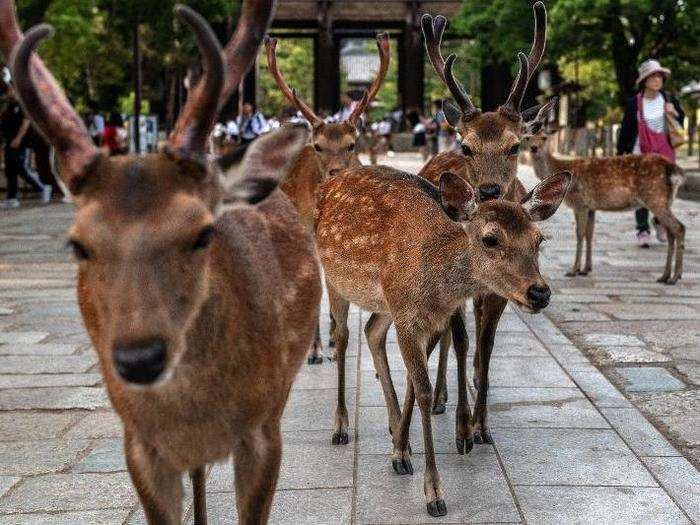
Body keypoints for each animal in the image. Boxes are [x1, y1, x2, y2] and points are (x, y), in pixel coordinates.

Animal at [0, 2, 322, 520]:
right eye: (78, 245)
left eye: (203, 232)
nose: (139, 358)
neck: (191, 421)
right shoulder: (139, 444)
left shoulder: (265, 427)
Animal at [314, 164, 572, 516]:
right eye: (491, 238)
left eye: (539, 239)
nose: (540, 293)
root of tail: (328, 184)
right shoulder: (407, 318)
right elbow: (422, 391)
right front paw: (433, 493)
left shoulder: (429, 315)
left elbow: (417, 378)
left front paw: (400, 450)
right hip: (335, 279)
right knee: (342, 337)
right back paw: (340, 427)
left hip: (384, 303)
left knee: (371, 331)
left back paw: (395, 429)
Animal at [524, 106, 688, 282]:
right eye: (527, 138)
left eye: (544, 137)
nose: (534, 148)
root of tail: (673, 169)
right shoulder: (591, 207)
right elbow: (589, 234)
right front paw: (586, 269)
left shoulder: (580, 203)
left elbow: (580, 234)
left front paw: (574, 270)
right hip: (666, 200)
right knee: (671, 231)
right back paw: (665, 276)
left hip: (655, 198)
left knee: (679, 227)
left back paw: (675, 277)